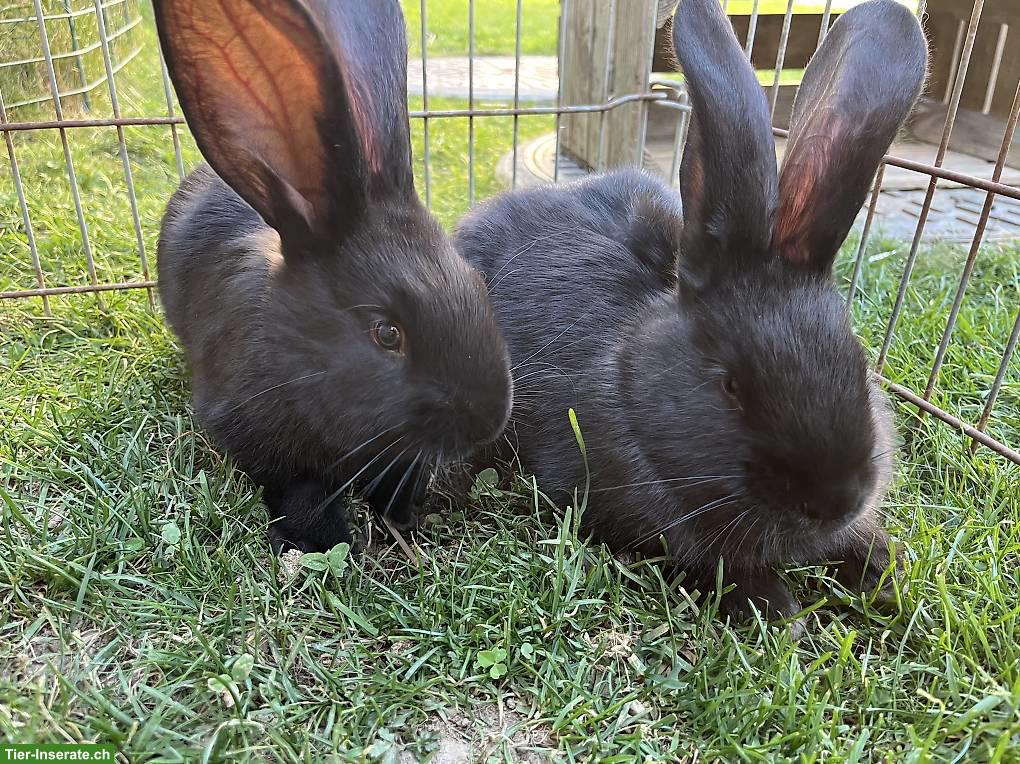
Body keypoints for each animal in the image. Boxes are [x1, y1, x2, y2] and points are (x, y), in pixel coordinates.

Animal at [154, 0, 512, 554]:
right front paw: (321, 539)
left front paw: (403, 513)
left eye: (477, 283)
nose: (490, 422)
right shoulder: (251, 431)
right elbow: (298, 487)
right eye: (386, 333)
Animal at [455, 0, 927, 622]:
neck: (629, 378)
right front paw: (780, 612)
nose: (833, 501)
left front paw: (884, 573)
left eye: (859, 362)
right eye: (731, 385)